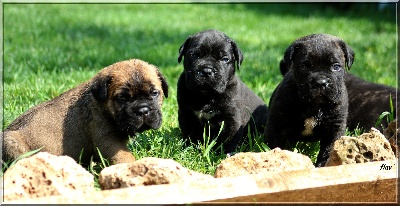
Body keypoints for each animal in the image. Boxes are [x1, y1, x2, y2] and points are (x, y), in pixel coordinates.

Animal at [266, 33, 354, 166]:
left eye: (336, 67)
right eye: (304, 66)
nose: (321, 82)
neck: (314, 105)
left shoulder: (334, 129)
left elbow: (328, 150)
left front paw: (323, 166)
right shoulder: (277, 125)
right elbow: (275, 146)